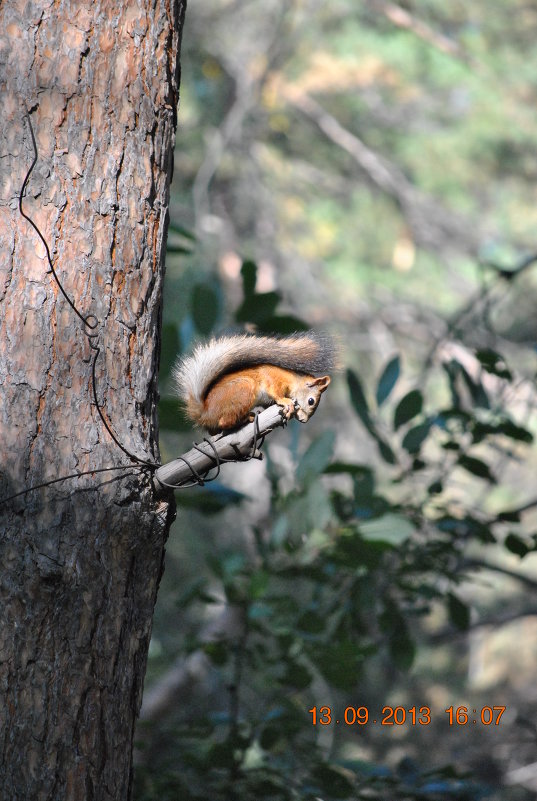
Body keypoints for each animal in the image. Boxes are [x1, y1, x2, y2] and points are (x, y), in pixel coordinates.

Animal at [174, 330, 336, 434]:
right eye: (311, 401)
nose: (303, 420)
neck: (294, 380)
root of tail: (205, 412)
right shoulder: (273, 378)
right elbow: (276, 392)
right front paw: (286, 402)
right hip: (244, 388)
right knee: (224, 422)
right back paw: (246, 418)